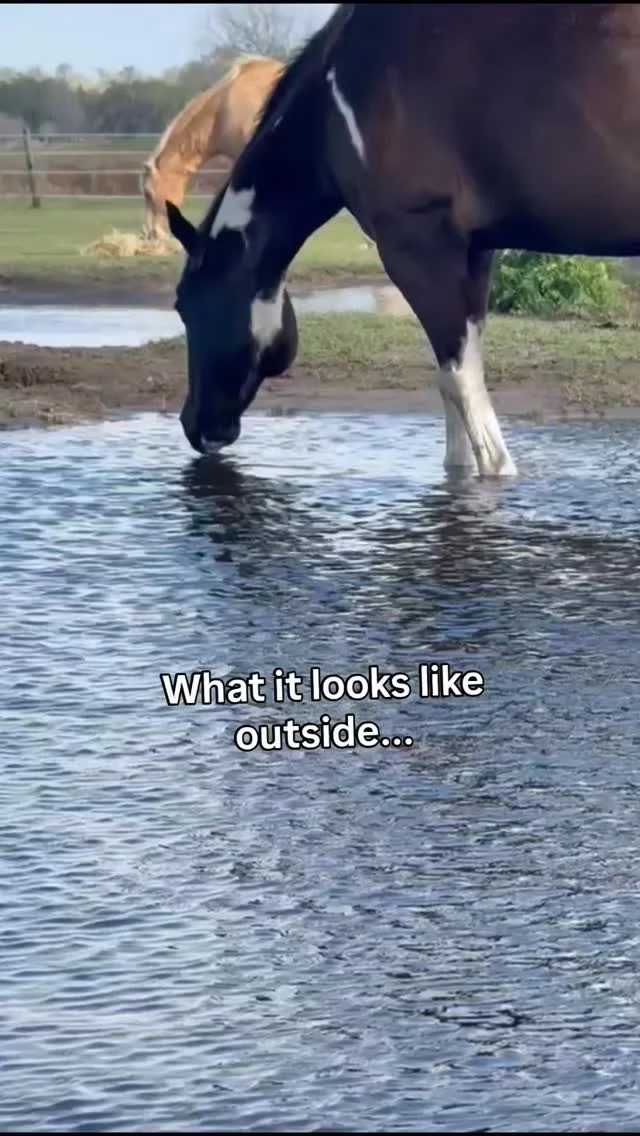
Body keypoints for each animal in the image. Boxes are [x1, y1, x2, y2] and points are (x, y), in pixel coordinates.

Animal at [166, 2, 640, 479]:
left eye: (184, 306)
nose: (195, 424)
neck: (337, 101)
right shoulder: (474, 253)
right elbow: (458, 383)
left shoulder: (417, 248)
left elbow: (459, 379)